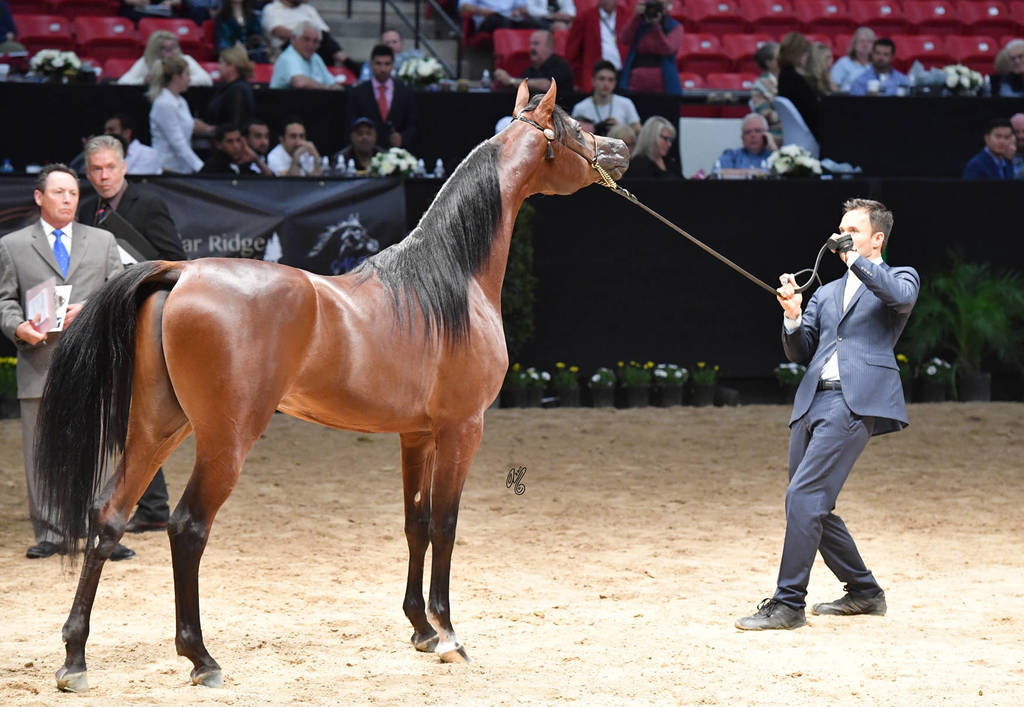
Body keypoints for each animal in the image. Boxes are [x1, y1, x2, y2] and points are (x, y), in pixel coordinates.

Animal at [34, 81, 629, 692]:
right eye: (574, 127)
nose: (619, 149)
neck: (453, 282)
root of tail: (180, 273)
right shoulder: (463, 429)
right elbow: (445, 525)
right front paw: (448, 636)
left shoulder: (416, 436)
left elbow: (415, 524)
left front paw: (420, 629)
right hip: (225, 439)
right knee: (187, 526)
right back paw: (201, 658)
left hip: (157, 428)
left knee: (108, 516)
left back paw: (75, 658)